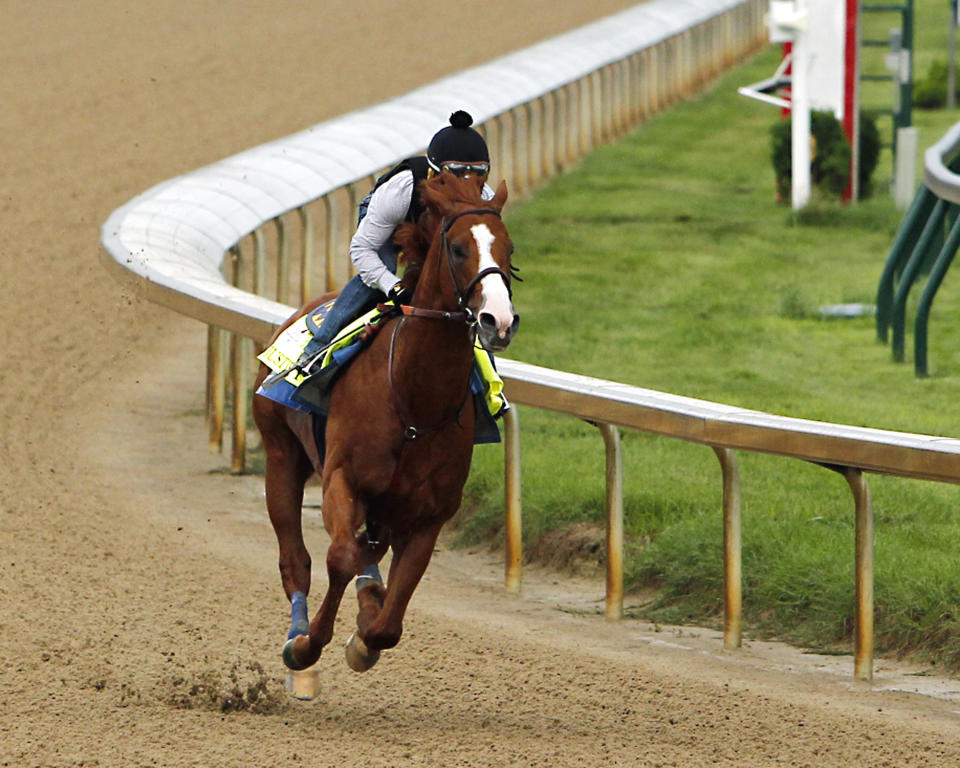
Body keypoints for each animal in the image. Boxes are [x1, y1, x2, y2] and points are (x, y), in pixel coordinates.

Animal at [249, 172, 516, 680]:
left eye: (508, 248)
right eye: (457, 248)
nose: (499, 320)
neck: (415, 401)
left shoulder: (431, 512)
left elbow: (389, 624)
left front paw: (363, 637)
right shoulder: (343, 479)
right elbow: (339, 557)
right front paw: (309, 645)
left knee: (366, 553)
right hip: (281, 454)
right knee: (296, 559)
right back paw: (298, 642)